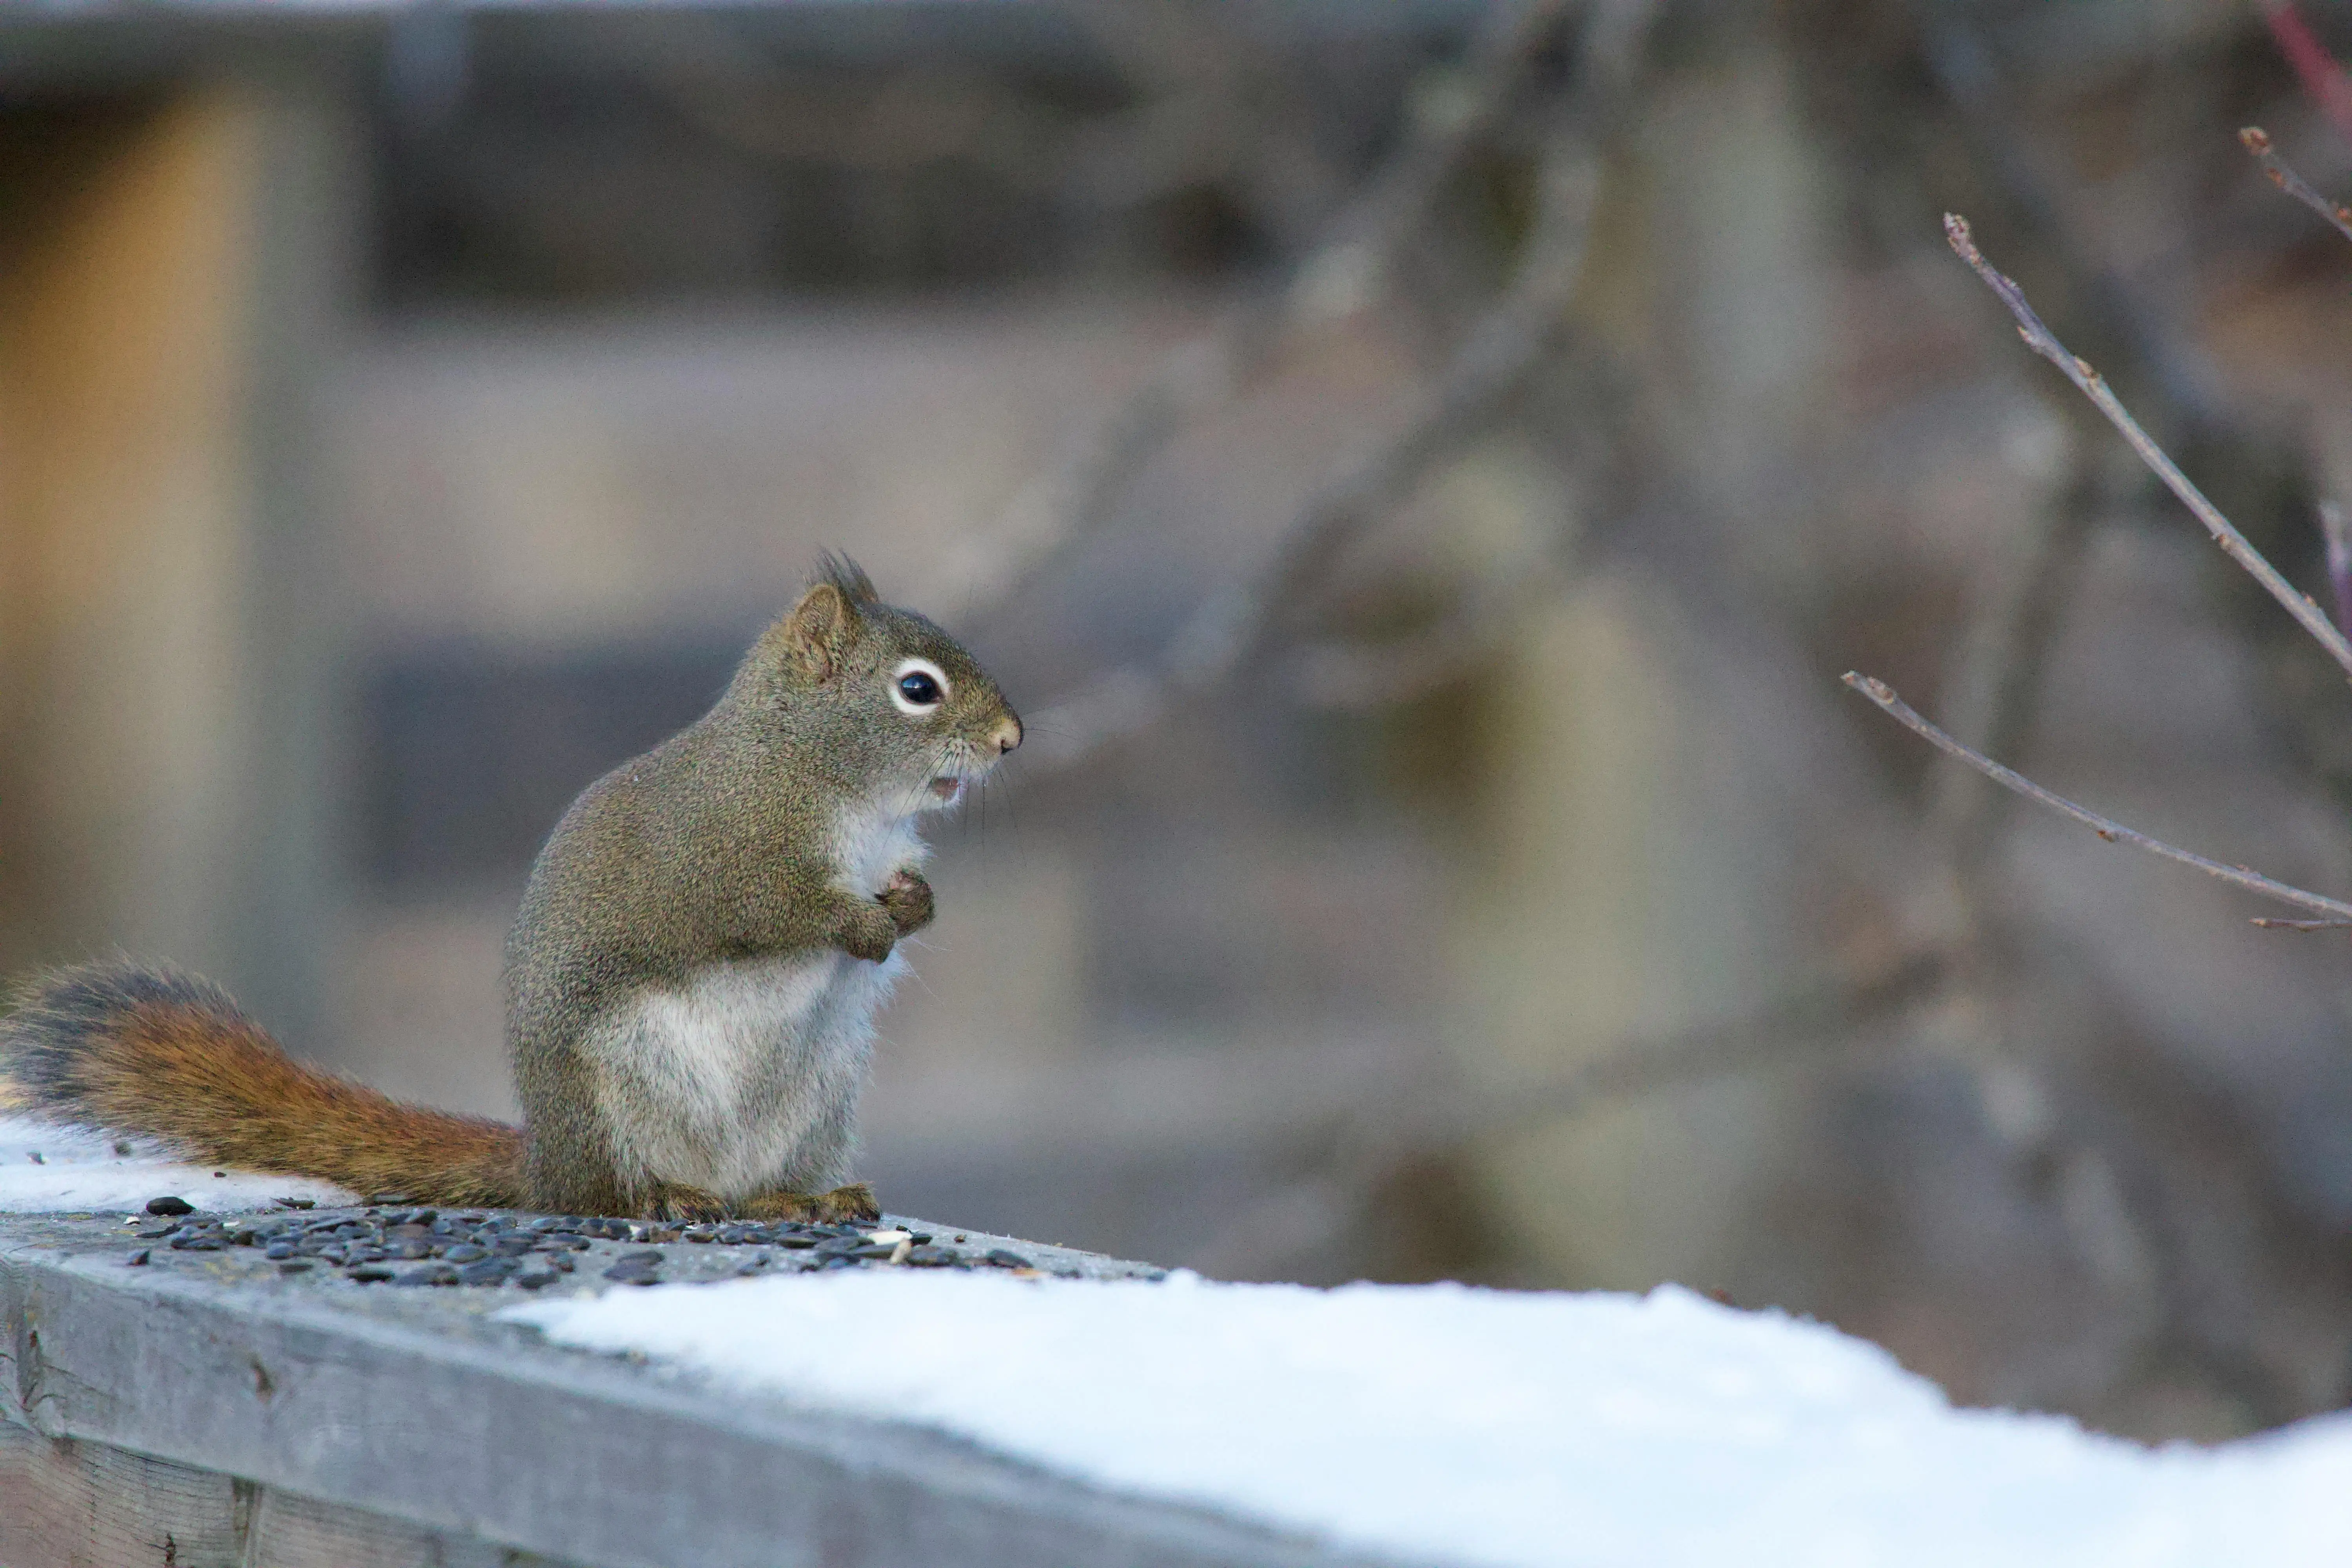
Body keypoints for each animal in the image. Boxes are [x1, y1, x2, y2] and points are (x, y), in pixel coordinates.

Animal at [0, 557, 1022, 1223]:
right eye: (918, 689)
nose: (1012, 740)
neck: (820, 772)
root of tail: (548, 1164)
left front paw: (913, 906)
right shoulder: (720, 855)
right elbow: (770, 910)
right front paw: (861, 924)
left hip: (824, 1087)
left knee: (761, 1180)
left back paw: (805, 1196)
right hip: (620, 1083)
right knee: (615, 1194)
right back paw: (671, 1195)